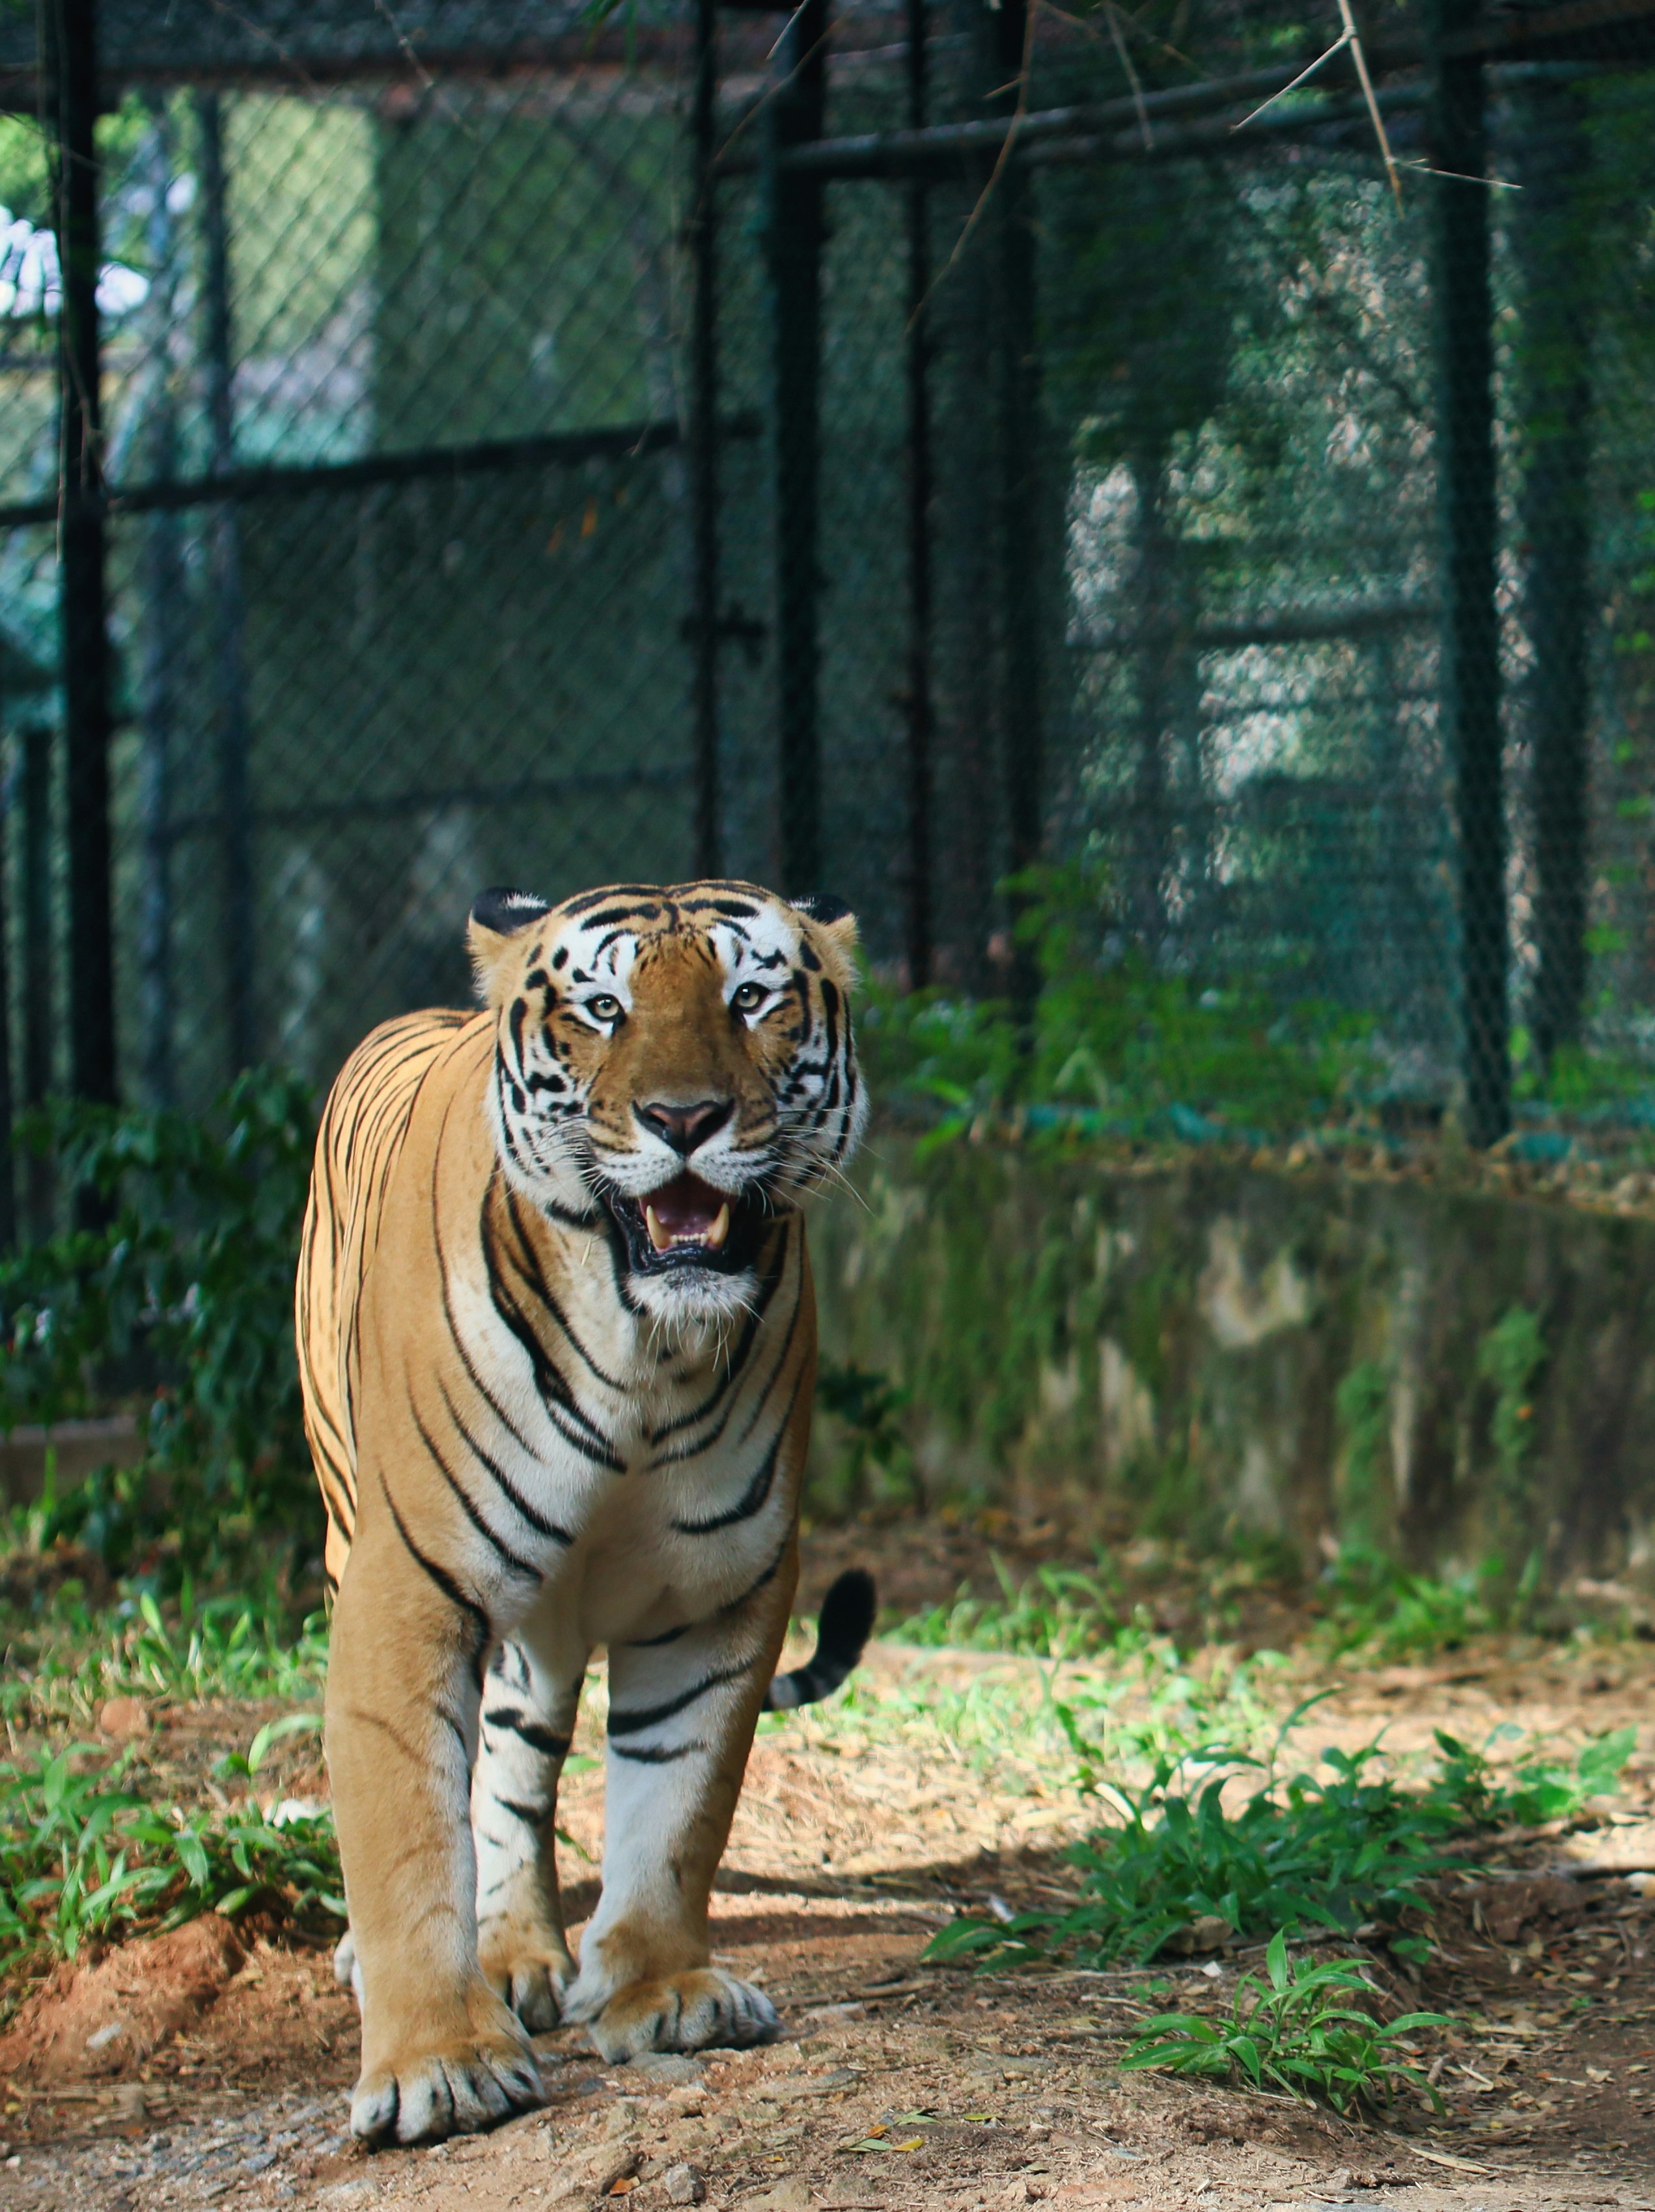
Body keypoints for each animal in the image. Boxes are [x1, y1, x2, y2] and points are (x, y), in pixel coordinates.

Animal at [295, 878, 873, 2148]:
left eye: (748, 996)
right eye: (603, 1009)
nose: (684, 1117)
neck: (644, 1356)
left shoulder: (721, 1592)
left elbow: (676, 1803)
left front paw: (662, 1989)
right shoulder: (409, 1581)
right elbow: (406, 1823)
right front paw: (437, 2062)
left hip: (539, 1629)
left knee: (513, 1773)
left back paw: (519, 1951)